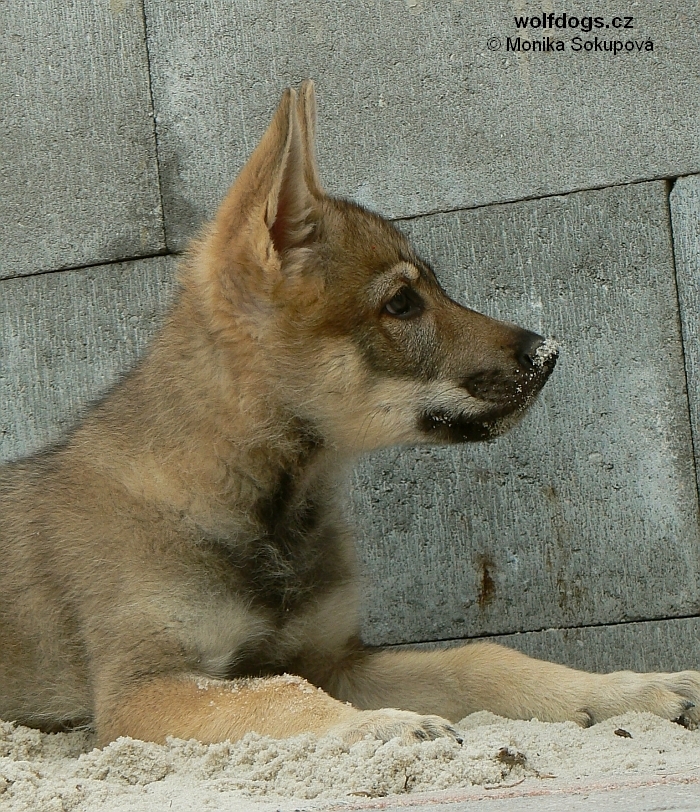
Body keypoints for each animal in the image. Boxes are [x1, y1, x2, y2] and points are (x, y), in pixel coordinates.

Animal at [2, 81, 696, 744]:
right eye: (402, 304)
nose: (548, 355)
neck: (263, 502)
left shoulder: (333, 659)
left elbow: (480, 659)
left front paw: (630, 689)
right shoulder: (143, 686)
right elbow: (279, 695)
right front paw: (377, 726)